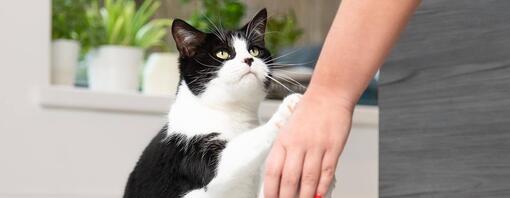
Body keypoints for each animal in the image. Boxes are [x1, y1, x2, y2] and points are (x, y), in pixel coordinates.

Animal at [123, 9, 302, 198]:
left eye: (254, 51)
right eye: (222, 54)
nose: (249, 59)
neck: (233, 113)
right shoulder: (191, 154)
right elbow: (236, 153)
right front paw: (287, 107)